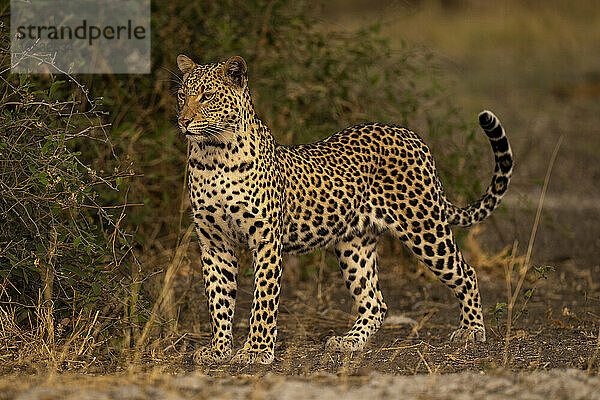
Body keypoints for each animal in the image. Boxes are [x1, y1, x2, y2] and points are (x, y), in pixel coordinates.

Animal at [176, 54, 512, 366]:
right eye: (182, 95)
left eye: (207, 95)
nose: (182, 121)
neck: (213, 156)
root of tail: (411, 135)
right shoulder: (214, 243)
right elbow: (219, 299)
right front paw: (218, 349)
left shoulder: (266, 240)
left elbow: (264, 299)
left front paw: (257, 351)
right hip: (355, 244)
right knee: (375, 301)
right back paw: (349, 342)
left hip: (424, 228)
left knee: (466, 273)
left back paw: (471, 330)